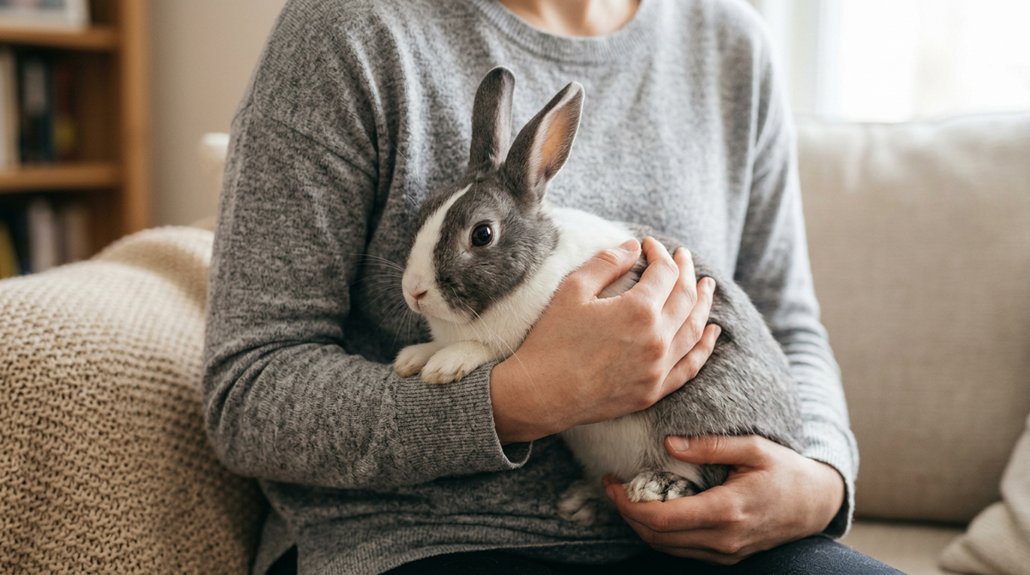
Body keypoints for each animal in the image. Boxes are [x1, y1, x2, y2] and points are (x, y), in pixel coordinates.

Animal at [394, 67, 801, 526]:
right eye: (424, 211)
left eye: (482, 234)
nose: (415, 291)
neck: (538, 263)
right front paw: (412, 358)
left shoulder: (515, 340)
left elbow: (485, 348)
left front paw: (445, 365)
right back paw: (582, 502)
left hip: (696, 422)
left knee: (704, 475)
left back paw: (656, 487)